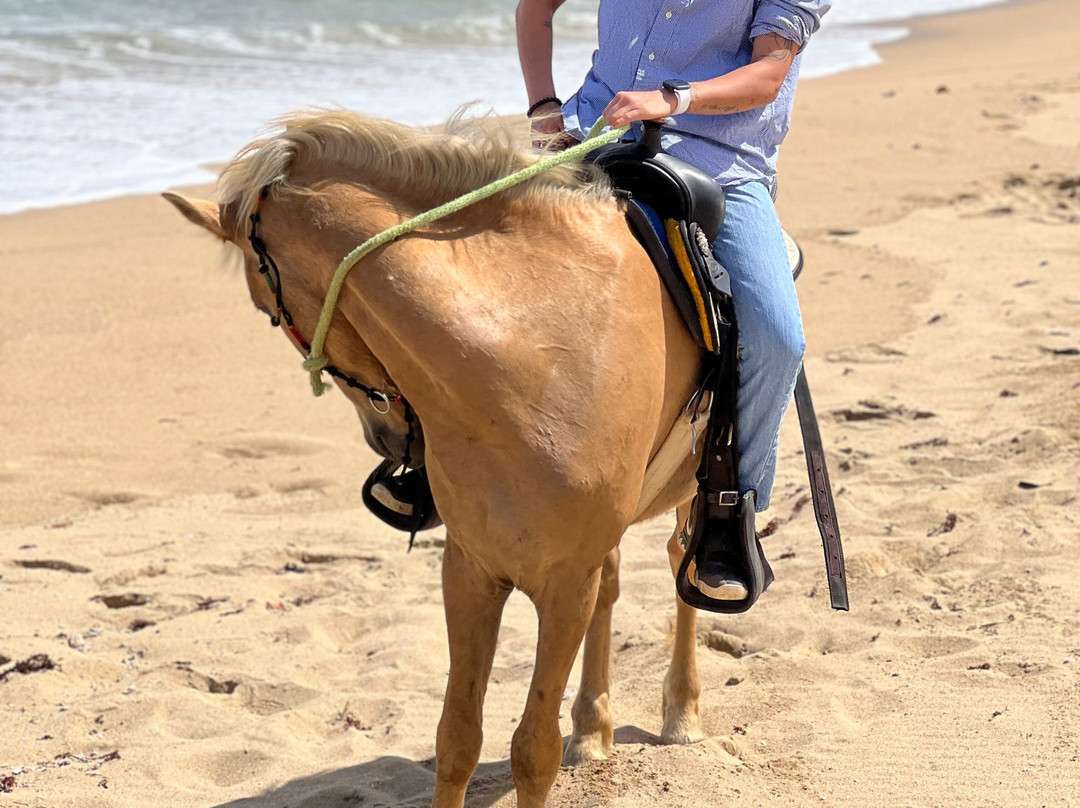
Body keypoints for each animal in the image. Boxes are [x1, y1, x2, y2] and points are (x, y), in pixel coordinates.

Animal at [166, 108, 712, 808]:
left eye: (268, 313)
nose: (383, 440)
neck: (534, 354)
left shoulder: (564, 585)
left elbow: (532, 752)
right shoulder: (471, 569)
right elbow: (457, 738)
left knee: (682, 567)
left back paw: (682, 712)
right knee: (616, 585)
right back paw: (592, 728)